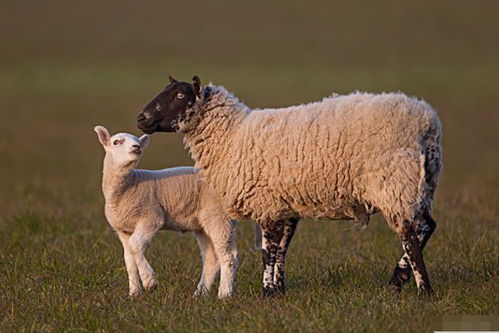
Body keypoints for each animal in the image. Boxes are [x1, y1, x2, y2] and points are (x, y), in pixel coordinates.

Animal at [93, 125, 238, 298]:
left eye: (136, 141)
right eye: (116, 142)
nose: (137, 147)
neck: (128, 187)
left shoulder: (151, 217)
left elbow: (135, 245)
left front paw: (149, 281)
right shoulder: (123, 230)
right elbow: (129, 259)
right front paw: (134, 292)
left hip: (218, 216)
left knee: (227, 256)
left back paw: (224, 294)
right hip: (205, 224)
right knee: (212, 259)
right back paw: (200, 294)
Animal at [136, 76, 442, 296]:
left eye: (179, 95)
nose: (141, 118)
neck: (232, 134)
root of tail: (427, 121)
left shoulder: (265, 202)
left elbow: (267, 252)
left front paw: (267, 292)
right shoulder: (284, 204)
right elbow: (282, 248)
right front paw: (279, 291)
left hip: (395, 183)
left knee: (409, 236)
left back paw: (422, 290)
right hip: (421, 184)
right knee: (428, 226)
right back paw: (399, 278)